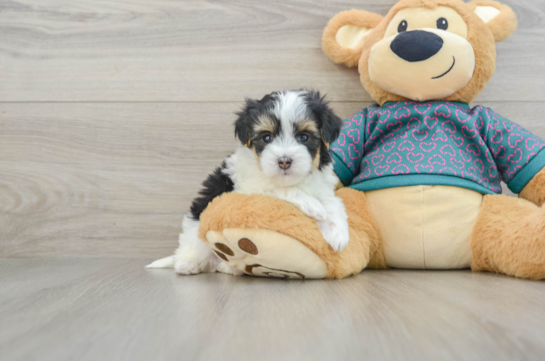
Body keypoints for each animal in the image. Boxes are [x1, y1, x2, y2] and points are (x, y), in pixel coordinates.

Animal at [147, 90, 346, 276]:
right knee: (191, 250)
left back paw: (226, 267)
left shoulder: (322, 186)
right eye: (267, 138)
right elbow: (278, 189)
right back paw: (187, 264)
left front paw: (337, 233)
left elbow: (333, 203)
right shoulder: (250, 187)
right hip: (196, 235)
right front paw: (313, 205)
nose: (284, 161)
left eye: (304, 137)